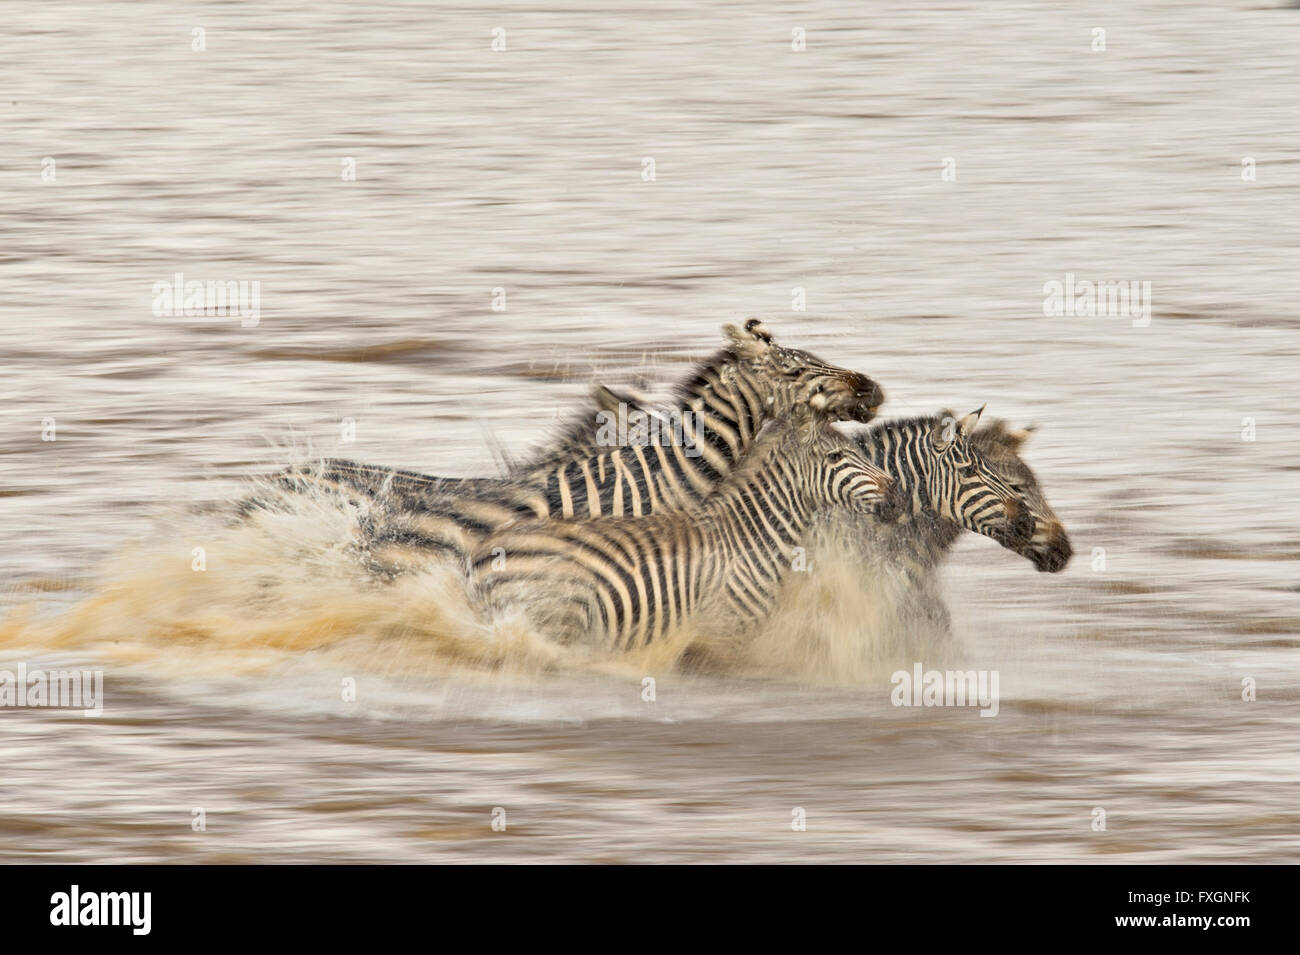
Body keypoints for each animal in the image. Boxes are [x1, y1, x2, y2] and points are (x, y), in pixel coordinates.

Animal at [467, 418, 904, 649]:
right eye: (836, 457)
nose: (896, 493)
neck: (748, 538)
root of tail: (483, 550)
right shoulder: (724, 629)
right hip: (554, 621)